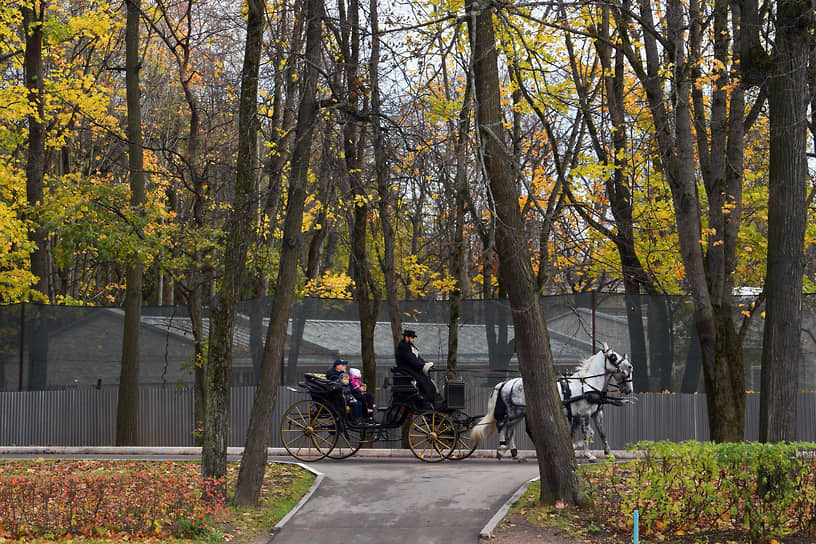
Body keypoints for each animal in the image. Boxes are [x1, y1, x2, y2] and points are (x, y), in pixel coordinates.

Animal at [468, 342, 636, 462]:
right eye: (614, 357)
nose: (629, 365)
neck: (587, 385)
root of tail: (505, 383)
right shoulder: (585, 414)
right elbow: (587, 433)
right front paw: (589, 455)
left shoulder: (595, 413)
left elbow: (601, 433)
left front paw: (608, 454)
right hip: (515, 412)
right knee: (503, 425)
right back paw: (501, 449)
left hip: (519, 413)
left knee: (510, 429)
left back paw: (514, 454)